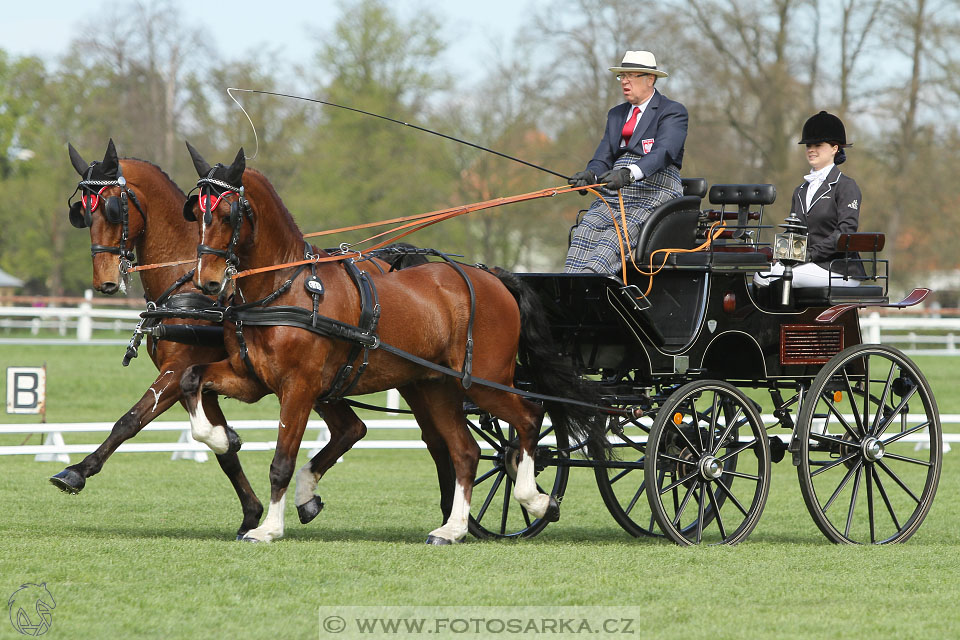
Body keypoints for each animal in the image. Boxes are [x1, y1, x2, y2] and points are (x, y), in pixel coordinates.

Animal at [52, 140, 262, 536]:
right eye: (82, 214)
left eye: (113, 209)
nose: (104, 282)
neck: (189, 283)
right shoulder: (194, 379)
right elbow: (223, 447)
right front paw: (252, 513)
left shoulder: (179, 369)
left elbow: (131, 419)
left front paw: (77, 471)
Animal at [180, 145, 608, 544]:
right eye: (196, 214)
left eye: (228, 214)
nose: (208, 282)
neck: (285, 288)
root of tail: (493, 276)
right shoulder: (251, 378)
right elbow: (191, 379)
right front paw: (220, 437)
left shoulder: (298, 387)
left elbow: (281, 461)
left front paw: (268, 528)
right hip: (437, 387)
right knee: (465, 451)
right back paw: (452, 528)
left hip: (485, 382)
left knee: (529, 418)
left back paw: (535, 499)